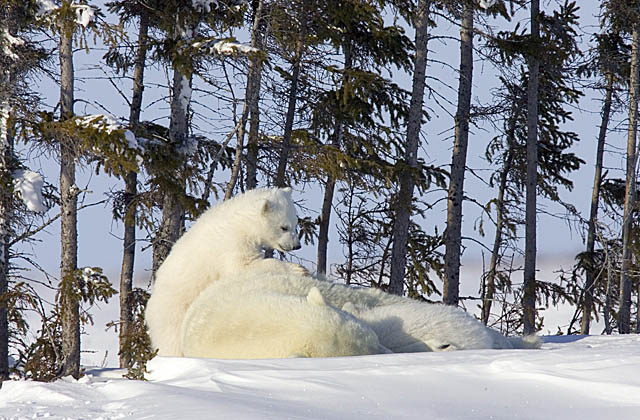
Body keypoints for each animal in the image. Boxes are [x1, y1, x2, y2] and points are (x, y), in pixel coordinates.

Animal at [144, 187, 308, 354]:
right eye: (284, 227)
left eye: (295, 224)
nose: (297, 245)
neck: (241, 221)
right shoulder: (232, 242)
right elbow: (242, 266)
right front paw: (298, 269)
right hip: (174, 313)